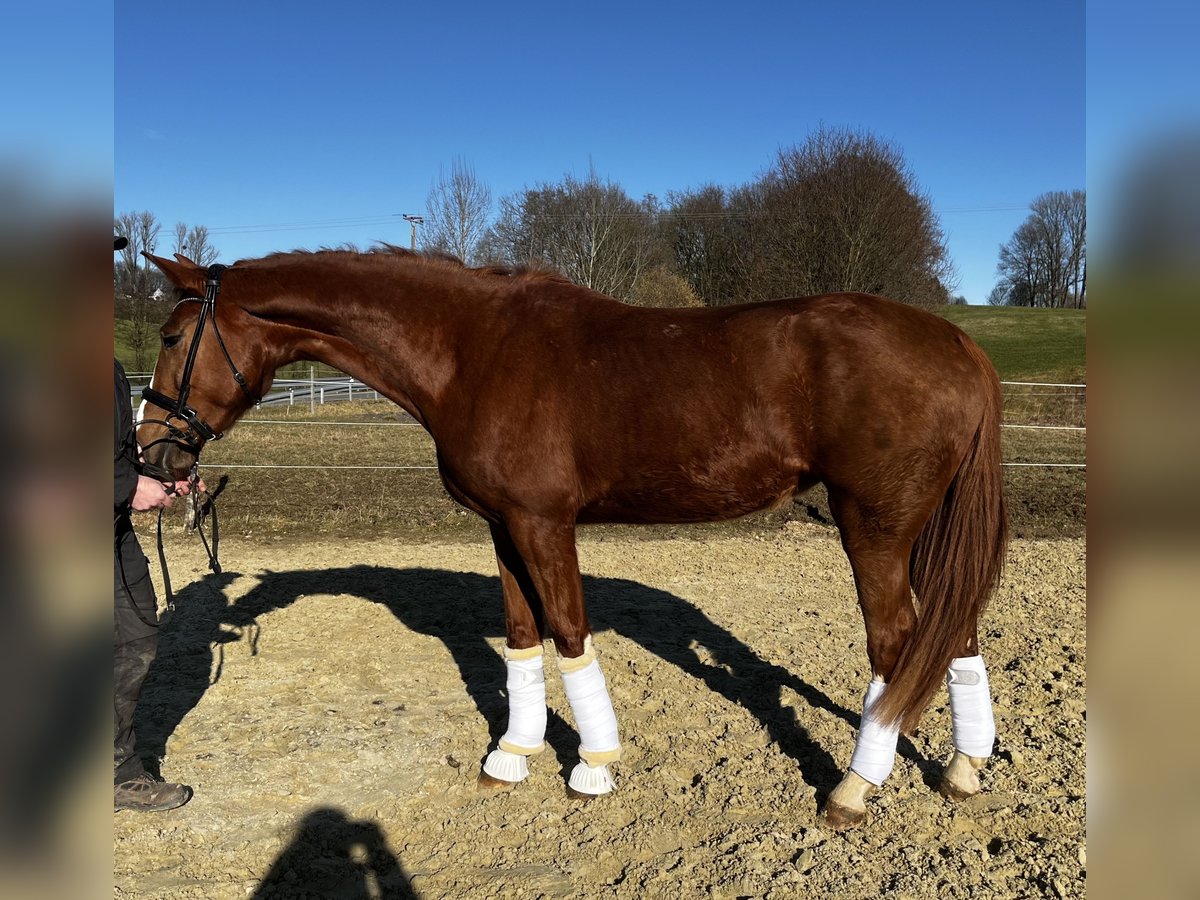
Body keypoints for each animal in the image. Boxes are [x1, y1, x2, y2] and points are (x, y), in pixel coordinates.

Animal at [136, 250, 1008, 830]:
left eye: (174, 337)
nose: (152, 456)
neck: (471, 348)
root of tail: (958, 342)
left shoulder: (543, 522)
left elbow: (568, 634)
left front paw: (593, 764)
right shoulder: (501, 525)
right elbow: (522, 639)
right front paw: (511, 756)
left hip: (875, 526)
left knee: (896, 642)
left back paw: (854, 789)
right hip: (926, 529)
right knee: (956, 633)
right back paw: (963, 769)